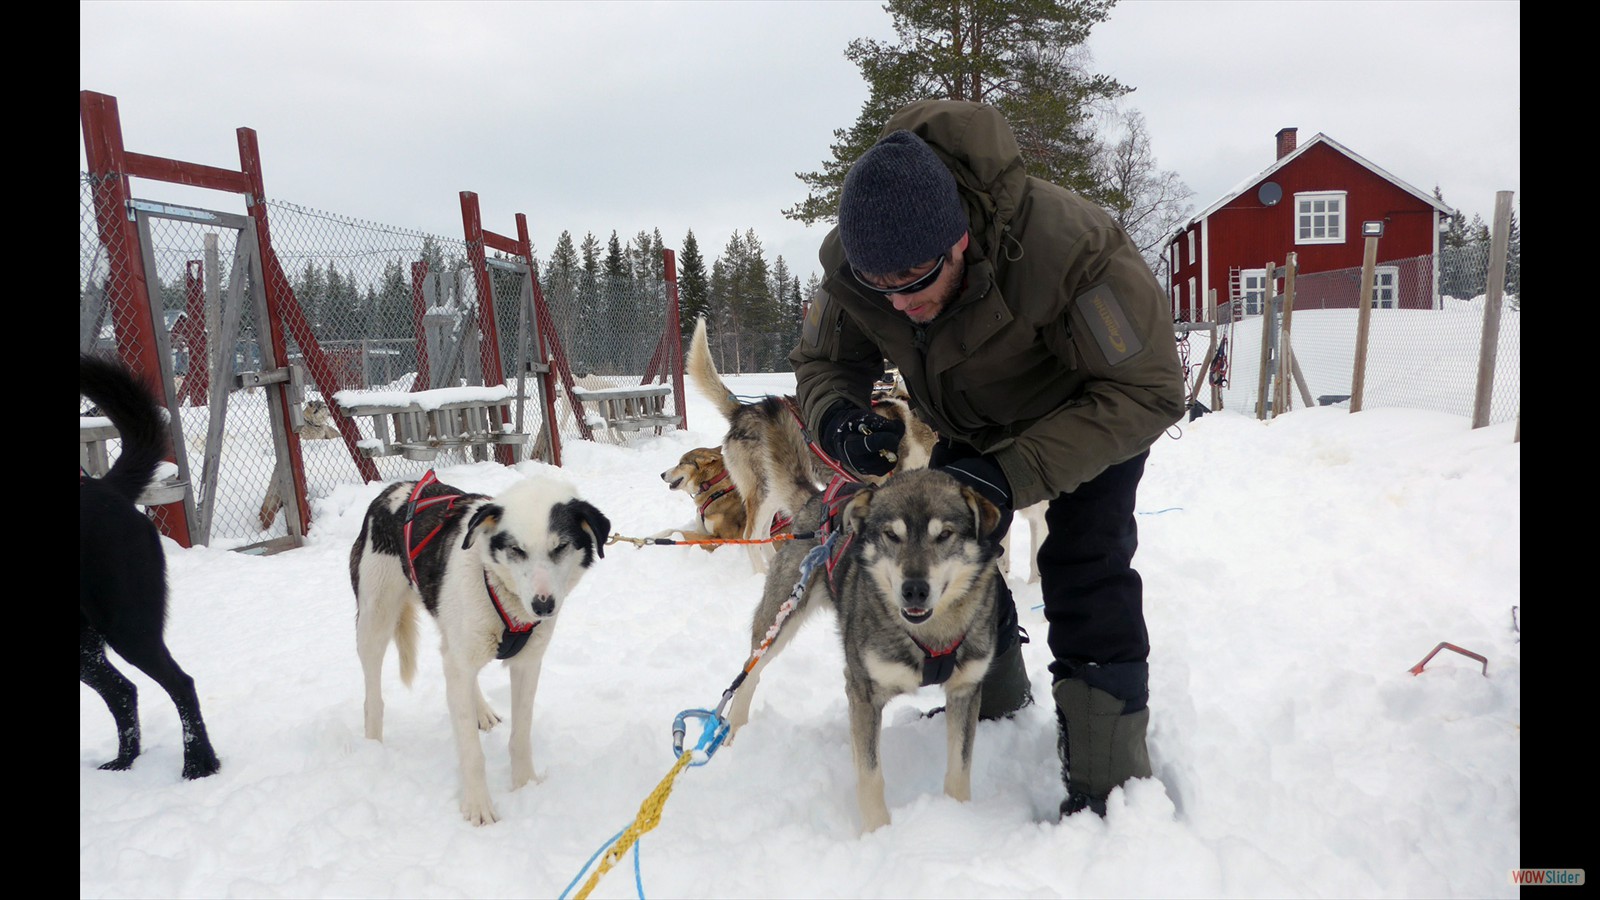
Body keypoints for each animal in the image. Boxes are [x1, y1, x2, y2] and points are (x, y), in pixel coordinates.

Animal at [80, 350, 220, 778]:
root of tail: (106, 487)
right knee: (123, 691)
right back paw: (124, 761)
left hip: (129, 626)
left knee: (180, 684)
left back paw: (198, 763)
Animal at [352, 474, 611, 826]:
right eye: (516, 549)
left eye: (560, 547)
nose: (543, 605)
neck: (497, 587)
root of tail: (395, 489)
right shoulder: (461, 662)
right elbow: (471, 752)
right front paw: (478, 806)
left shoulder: (527, 664)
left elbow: (521, 735)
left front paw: (524, 785)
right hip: (375, 621)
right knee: (373, 696)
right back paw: (373, 747)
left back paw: (482, 711)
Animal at [726, 464, 998, 832]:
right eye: (891, 535)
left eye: (944, 535)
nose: (914, 590)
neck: (930, 635)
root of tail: (816, 500)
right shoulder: (865, 691)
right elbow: (871, 776)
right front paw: (879, 833)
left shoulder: (965, 690)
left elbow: (960, 767)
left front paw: (958, 817)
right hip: (780, 621)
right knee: (749, 672)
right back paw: (732, 732)